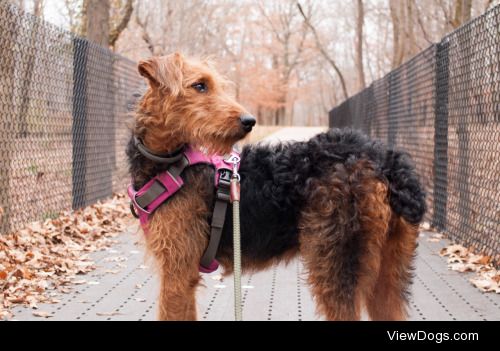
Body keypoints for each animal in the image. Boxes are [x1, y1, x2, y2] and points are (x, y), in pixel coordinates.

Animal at [128, 53, 426, 322]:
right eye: (199, 85)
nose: (249, 121)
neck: (170, 161)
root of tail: (387, 162)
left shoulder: (178, 272)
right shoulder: (180, 272)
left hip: (336, 263)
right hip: (388, 271)